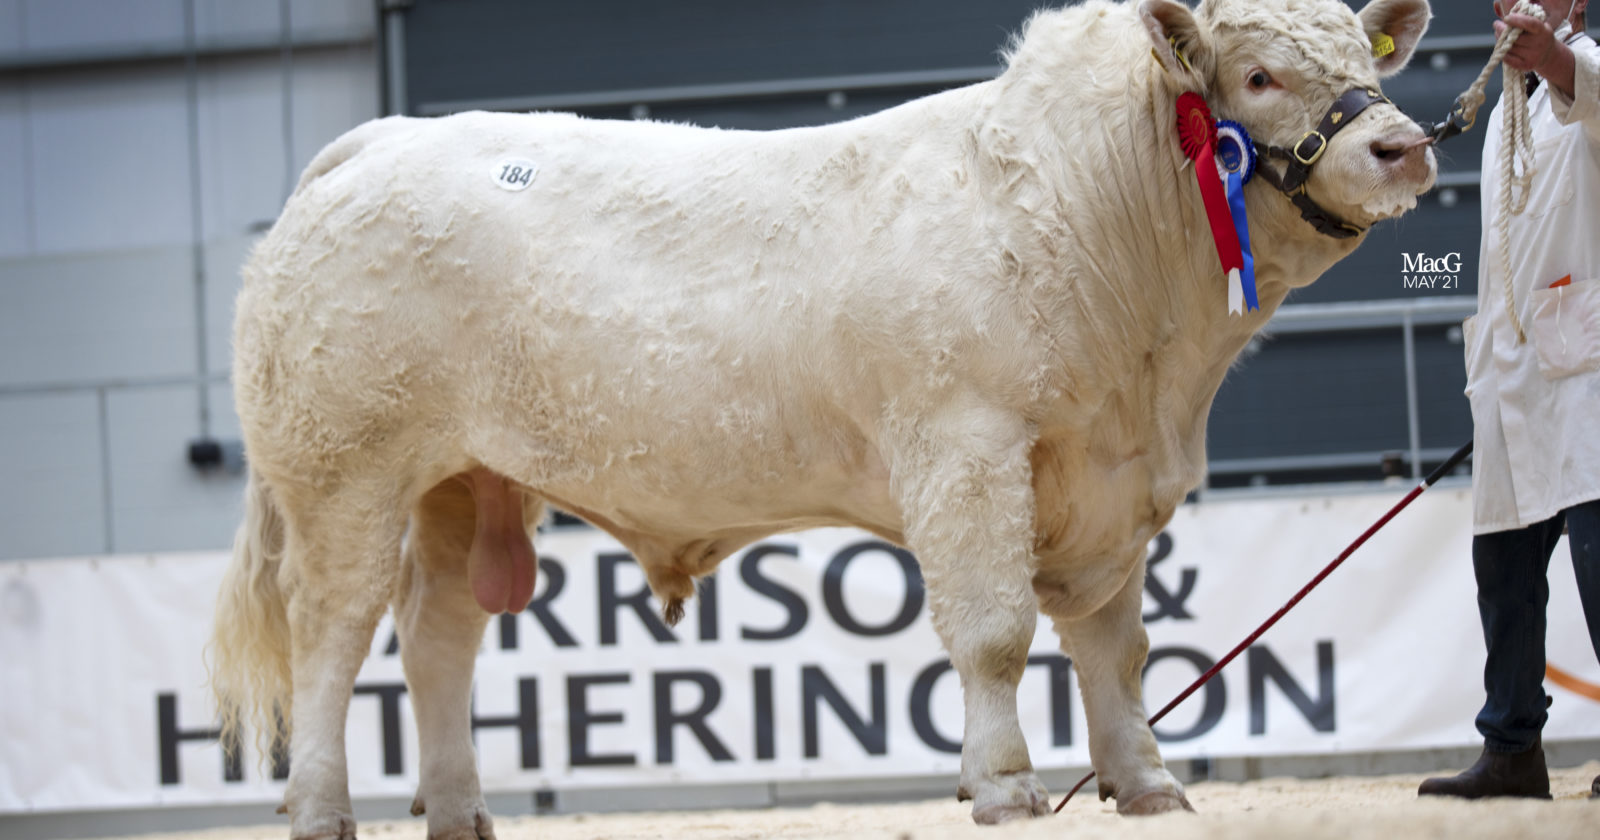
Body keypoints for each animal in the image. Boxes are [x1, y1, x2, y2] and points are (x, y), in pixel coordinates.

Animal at [209, 0, 1435, 836]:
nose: (1404, 147)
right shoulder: (967, 447)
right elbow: (994, 632)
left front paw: (1145, 783)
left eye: (1362, 57)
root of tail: (379, 140)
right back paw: (320, 810)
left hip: (465, 482)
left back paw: (462, 812)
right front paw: (1004, 785)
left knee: (438, 637)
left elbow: (1114, 646)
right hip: (344, 473)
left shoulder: (1114, 478)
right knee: (333, 634)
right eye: (1260, 74)